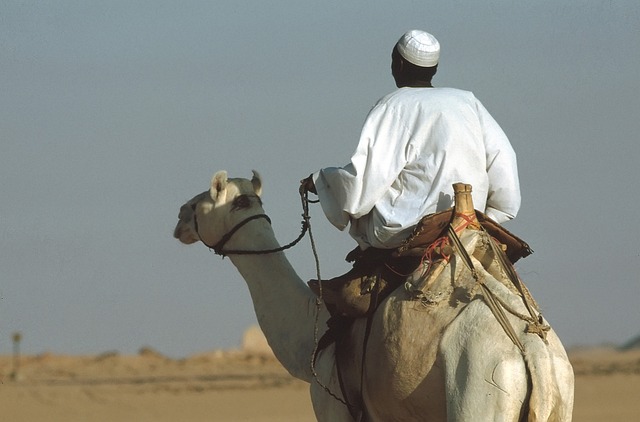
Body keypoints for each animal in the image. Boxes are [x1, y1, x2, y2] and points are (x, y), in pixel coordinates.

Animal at [174, 170, 576, 420]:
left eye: (201, 203)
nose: (178, 217)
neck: (314, 332)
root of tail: (534, 353)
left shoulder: (334, 406)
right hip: (560, 398)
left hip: (481, 394)